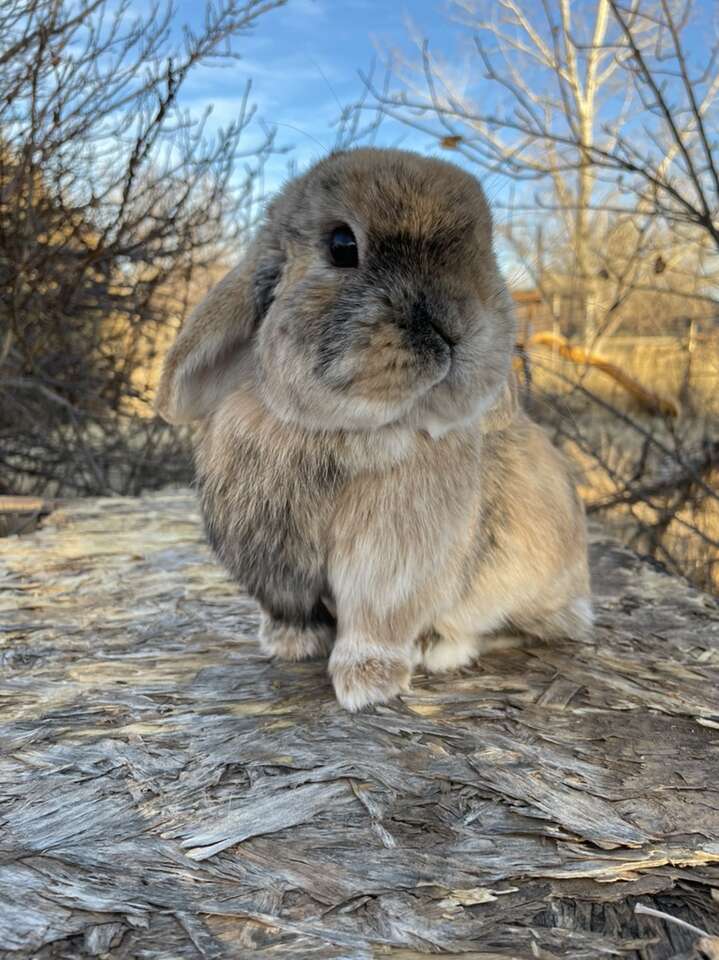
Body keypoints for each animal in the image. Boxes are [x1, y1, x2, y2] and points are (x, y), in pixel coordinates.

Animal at [156, 144, 592, 712]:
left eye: (486, 249)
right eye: (342, 245)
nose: (453, 326)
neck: (340, 424)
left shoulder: (390, 561)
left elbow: (375, 619)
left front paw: (367, 685)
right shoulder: (274, 561)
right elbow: (293, 609)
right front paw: (288, 644)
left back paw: (439, 646)